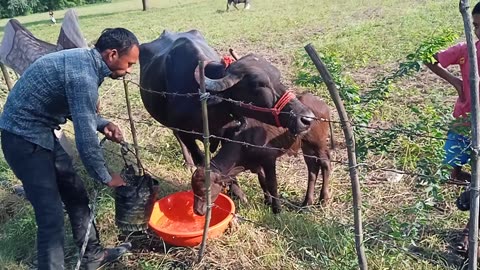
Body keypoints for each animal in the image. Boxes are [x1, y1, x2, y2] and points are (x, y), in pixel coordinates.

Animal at [140, 29, 316, 169]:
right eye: (258, 85)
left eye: (278, 78)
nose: (307, 118)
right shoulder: (186, 134)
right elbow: (202, 160)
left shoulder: (228, 134)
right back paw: (189, 163)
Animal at [191, 93, 334, 215]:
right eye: (193, 189)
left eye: (205, 190)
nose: (197, 211)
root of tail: (321, 103)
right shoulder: (256, 164)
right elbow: (263, 181)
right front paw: (267, 201)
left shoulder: (269, 159)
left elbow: (272, 184)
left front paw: (277, 209)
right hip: (306, 147)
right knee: (312, 168)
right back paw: (306, 204)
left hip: (318, 143)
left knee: (325, 163)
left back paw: (323, 200)